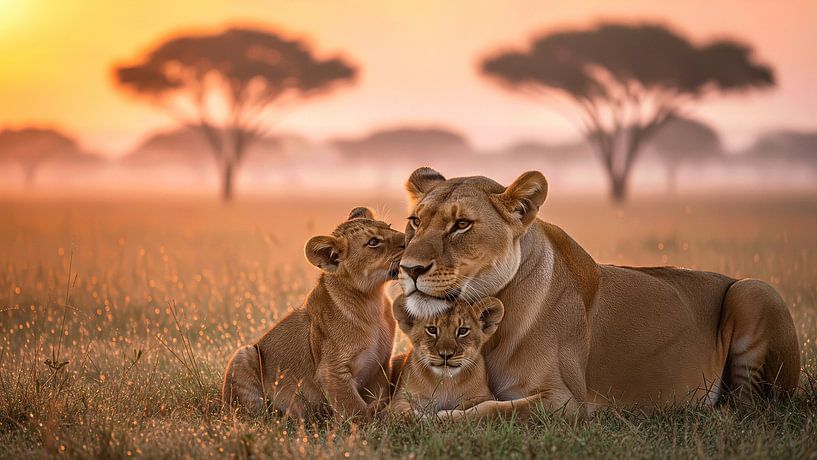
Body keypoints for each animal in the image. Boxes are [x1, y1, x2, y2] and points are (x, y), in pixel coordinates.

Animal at [222, 207, 405, 419]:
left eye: (388, 226)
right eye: (373, 242)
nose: (410, 238)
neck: (372, 301)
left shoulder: (379, 366)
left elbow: (379, 397)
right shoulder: (331, 370)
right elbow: (355, 409)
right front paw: (375, 421)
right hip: (244, 354)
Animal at [397, 167, 800, 419]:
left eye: (462, 224)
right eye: (415, 221)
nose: (409, 268)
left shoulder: (566, 402)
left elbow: (489, 412)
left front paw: (440, 418)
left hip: (754, 289)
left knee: (751, 405)